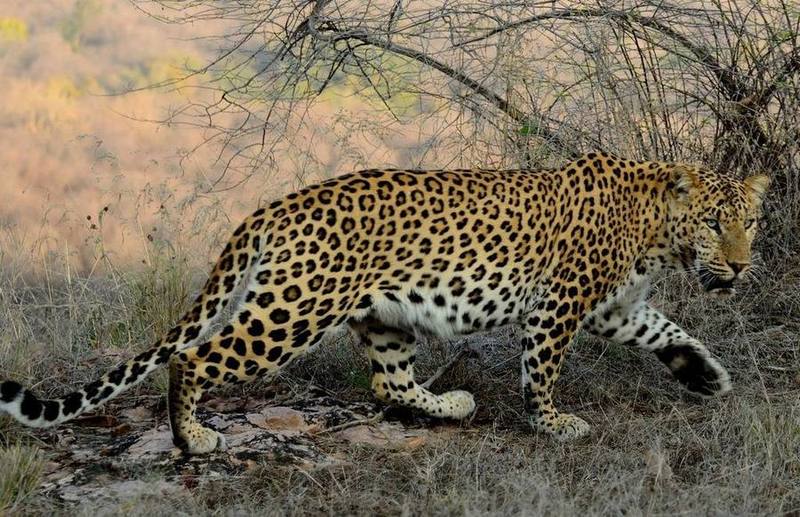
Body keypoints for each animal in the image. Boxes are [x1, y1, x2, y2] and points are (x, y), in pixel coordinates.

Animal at [0, 151, 769, 454]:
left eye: (751, 222)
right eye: (712, 222)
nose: (738, 263)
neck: (657, 235)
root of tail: (273, 207)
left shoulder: (616, 306)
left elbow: (668, 330)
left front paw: (707, 376)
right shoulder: (560, 303)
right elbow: (543, 370)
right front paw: (553, 423)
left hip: (383, 316)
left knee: (387, 381)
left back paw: (452, 403)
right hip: (292, 310)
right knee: (194, 356)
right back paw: (193, 438)